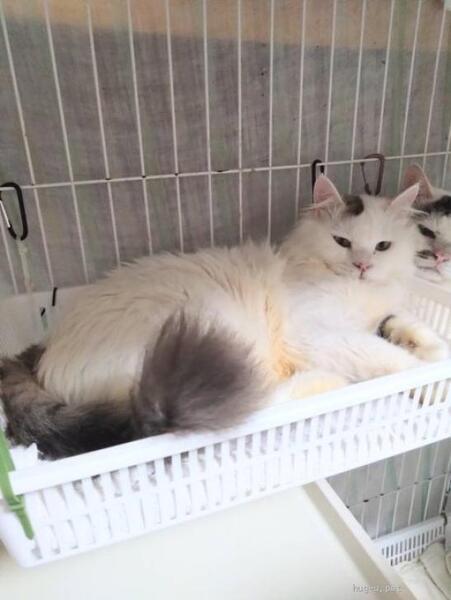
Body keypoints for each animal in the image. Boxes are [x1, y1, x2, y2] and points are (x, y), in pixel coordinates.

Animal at [0, 175, 447, 459]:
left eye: (383, 246)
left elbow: (405, 327)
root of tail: (44, 357)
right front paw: (433, 384)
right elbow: (388, 357)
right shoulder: (317, 334)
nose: (361, 266)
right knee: (249, 404)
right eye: (342, 241)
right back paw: (323, 382)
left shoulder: (377, 317)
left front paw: (435, 350)